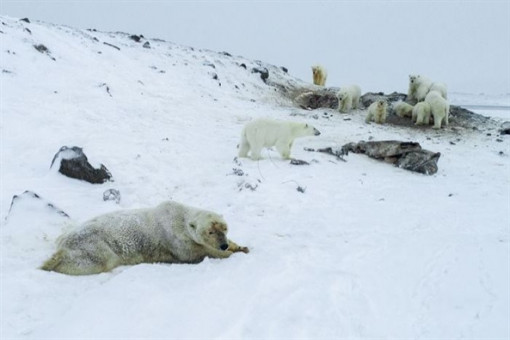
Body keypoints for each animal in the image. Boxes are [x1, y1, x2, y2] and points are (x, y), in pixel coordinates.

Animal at [40, 201, 248, 274]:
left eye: (225, 228)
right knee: (95, 260)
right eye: (210, 232)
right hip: (94, 245)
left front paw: (240, 246)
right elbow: (195, 253)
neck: (179, 217)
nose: (223, 245)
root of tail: (62, 242)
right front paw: (228, 254)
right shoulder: (176, 239)